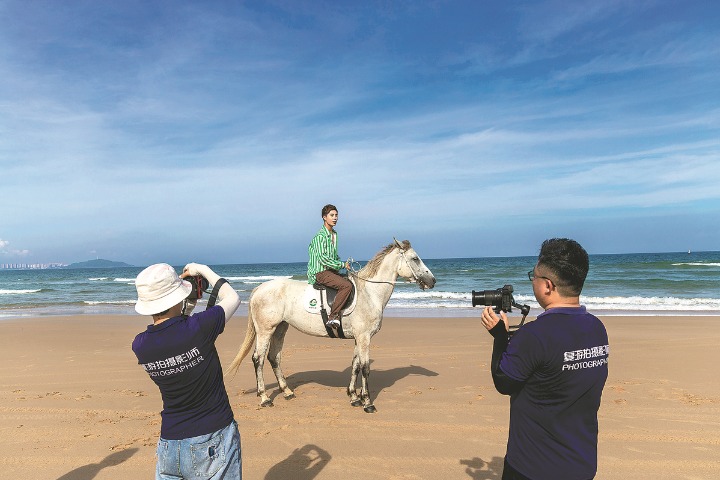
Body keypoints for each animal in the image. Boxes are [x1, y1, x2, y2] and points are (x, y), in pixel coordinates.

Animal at [228, 238, 436, 410]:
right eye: (415, 258)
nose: (432, 280)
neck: (370, 293)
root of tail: (259, 288)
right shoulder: (364, 337)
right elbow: (365, 368)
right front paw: (367, 402)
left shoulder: (358, 337)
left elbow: (355, 365)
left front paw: (354, 397)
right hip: (265, 330)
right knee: (258, 359)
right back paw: (264, 398)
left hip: (280, 328)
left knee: (274, 357)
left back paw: (287, 391)